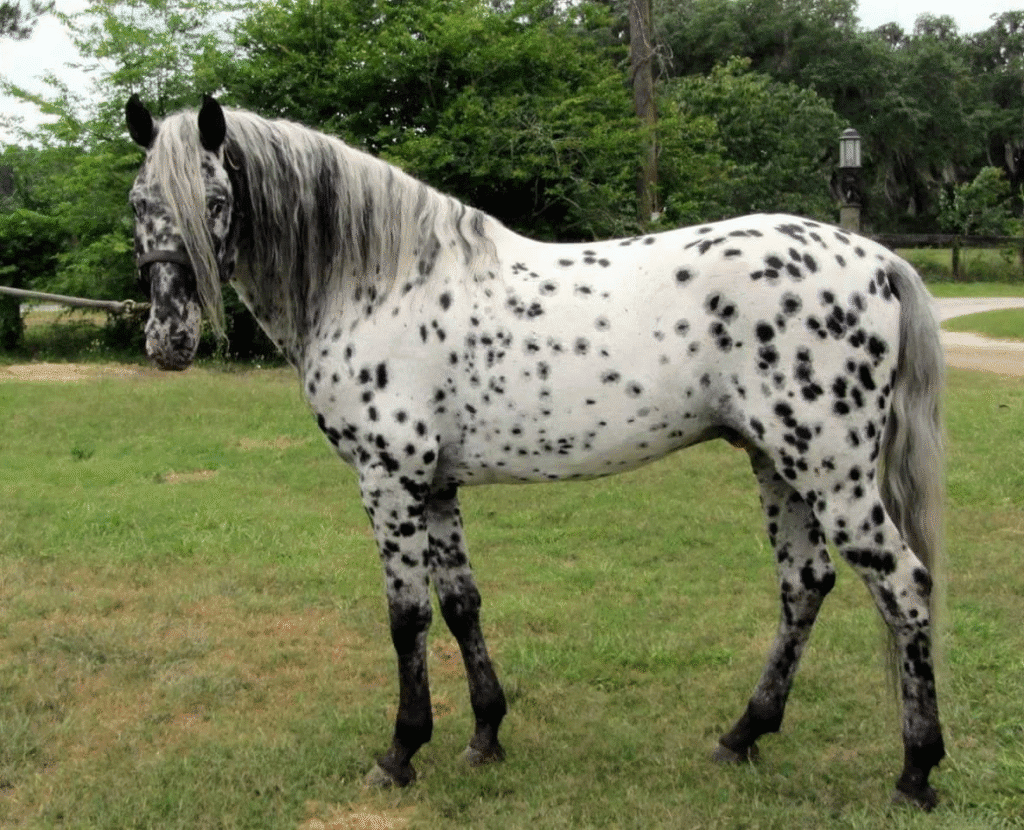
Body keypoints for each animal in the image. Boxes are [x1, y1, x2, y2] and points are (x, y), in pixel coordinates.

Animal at [125, 94, 947, 809]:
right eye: (139, 203)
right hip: (777, 463)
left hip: (832, 473)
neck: (377, 283)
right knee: (805, 585)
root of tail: (876, 260)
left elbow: (406, 617)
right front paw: (485, 736)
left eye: (216, 201)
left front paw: (400, 752)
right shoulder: (436, 486)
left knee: (903, 586)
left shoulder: (389, 480)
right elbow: (461, 605)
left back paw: (916, 771)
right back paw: (741, 736)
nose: (169, 338)